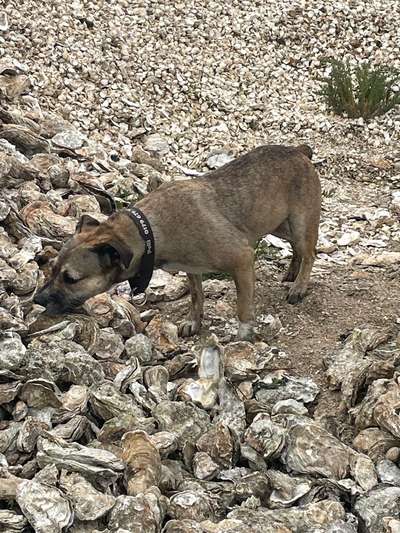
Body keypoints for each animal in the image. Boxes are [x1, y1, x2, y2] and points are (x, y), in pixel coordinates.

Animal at [35, 143, 322, 338]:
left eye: (71, 279)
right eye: (52, 269)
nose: (38, 299)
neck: (149, 231)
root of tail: (299, 151)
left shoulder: (241, 258)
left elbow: (242, 306)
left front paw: (243, 334)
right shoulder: (192, 269)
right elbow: (196, 296)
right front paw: (194, 322)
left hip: (299, 223)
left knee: (309, 253)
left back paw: (299, 286)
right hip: (279, 225)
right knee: (297, 249)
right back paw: (292, 273)